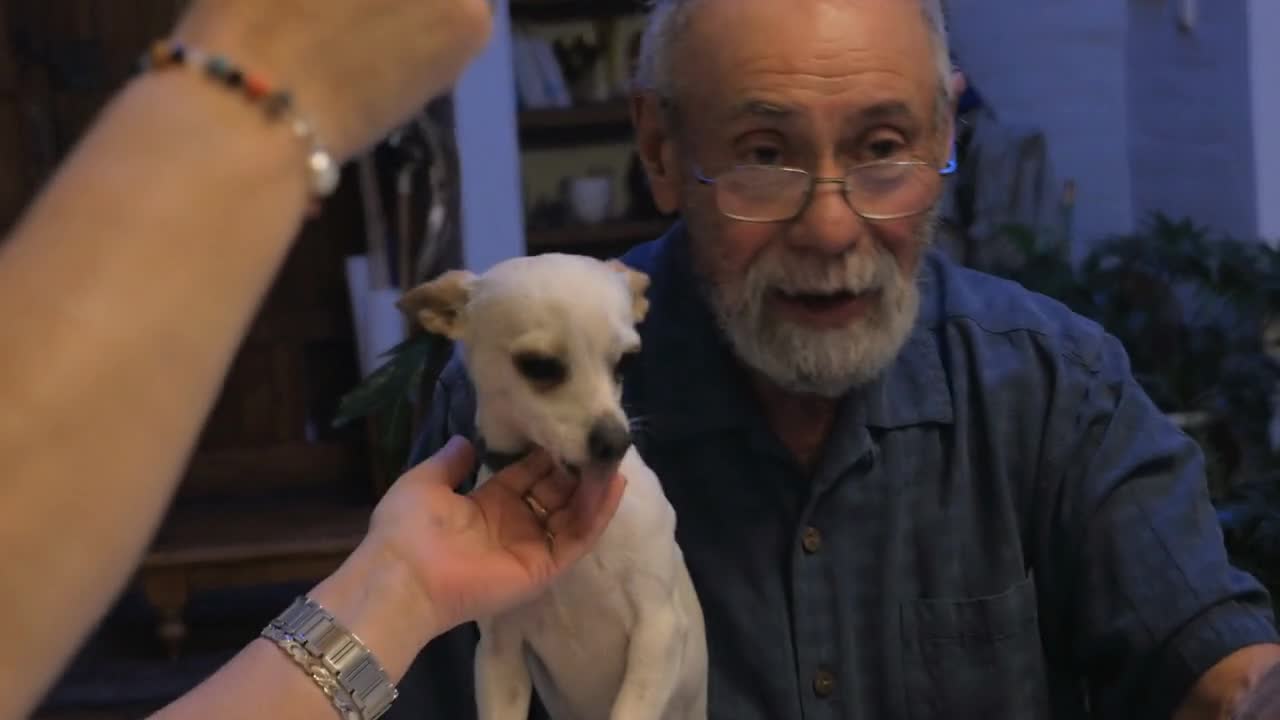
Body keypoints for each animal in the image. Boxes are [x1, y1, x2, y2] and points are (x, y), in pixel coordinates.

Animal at [399, 252, 711, 717]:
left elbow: (629, 708)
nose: (616, 441)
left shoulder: (658, 635)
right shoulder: (499, 655)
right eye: (539, 366)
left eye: (626, 362)